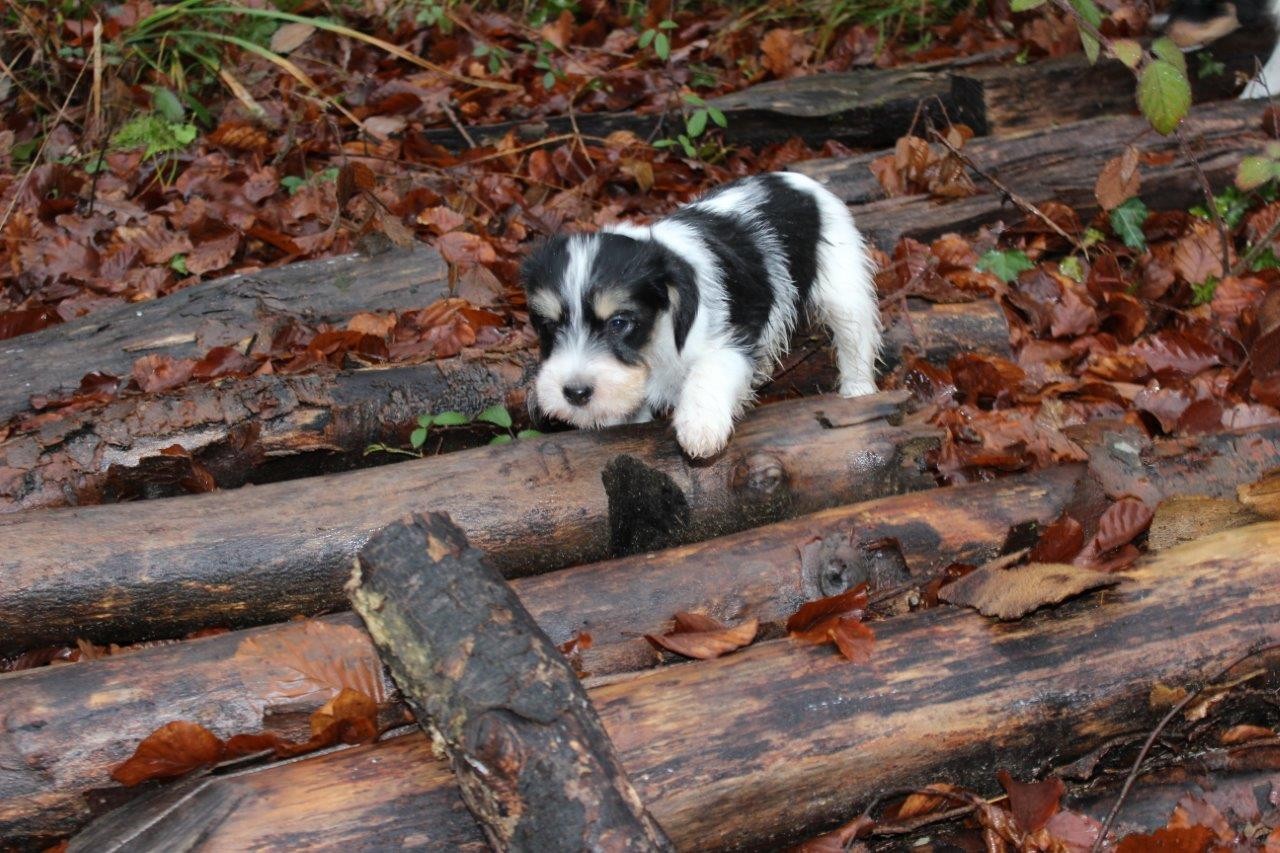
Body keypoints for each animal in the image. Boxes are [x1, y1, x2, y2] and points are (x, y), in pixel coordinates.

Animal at [519, 169, 880, 455]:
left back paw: (858, 390)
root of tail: (796, 180)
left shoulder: (732, 340)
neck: (655, 343)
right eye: (548, 325)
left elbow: (710, 371)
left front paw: (700, 426)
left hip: (842, 285)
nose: (574, 393)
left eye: (620, 323)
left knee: (855, 335)